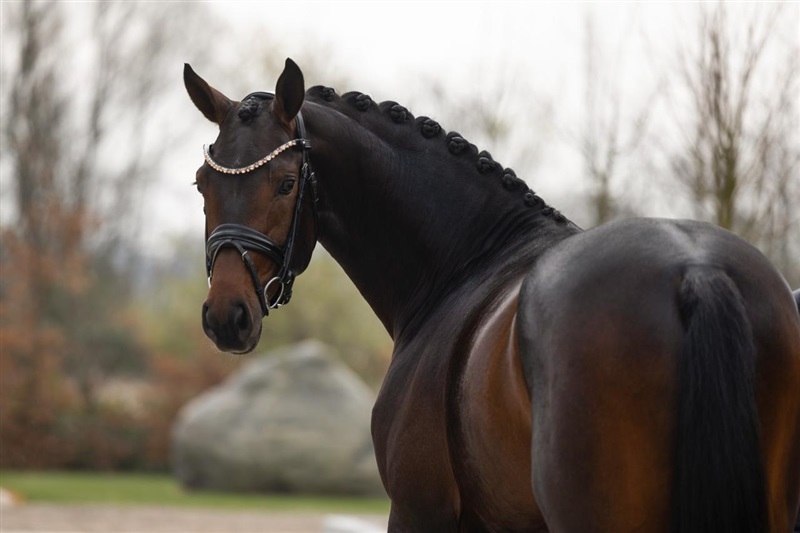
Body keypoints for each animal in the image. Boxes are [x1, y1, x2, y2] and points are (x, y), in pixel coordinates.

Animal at [184, 58, 800, 532]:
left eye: (286, 183)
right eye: (201, 184)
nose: (226, 317)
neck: (468, 260)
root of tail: (695, 270)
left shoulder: (420, 511)